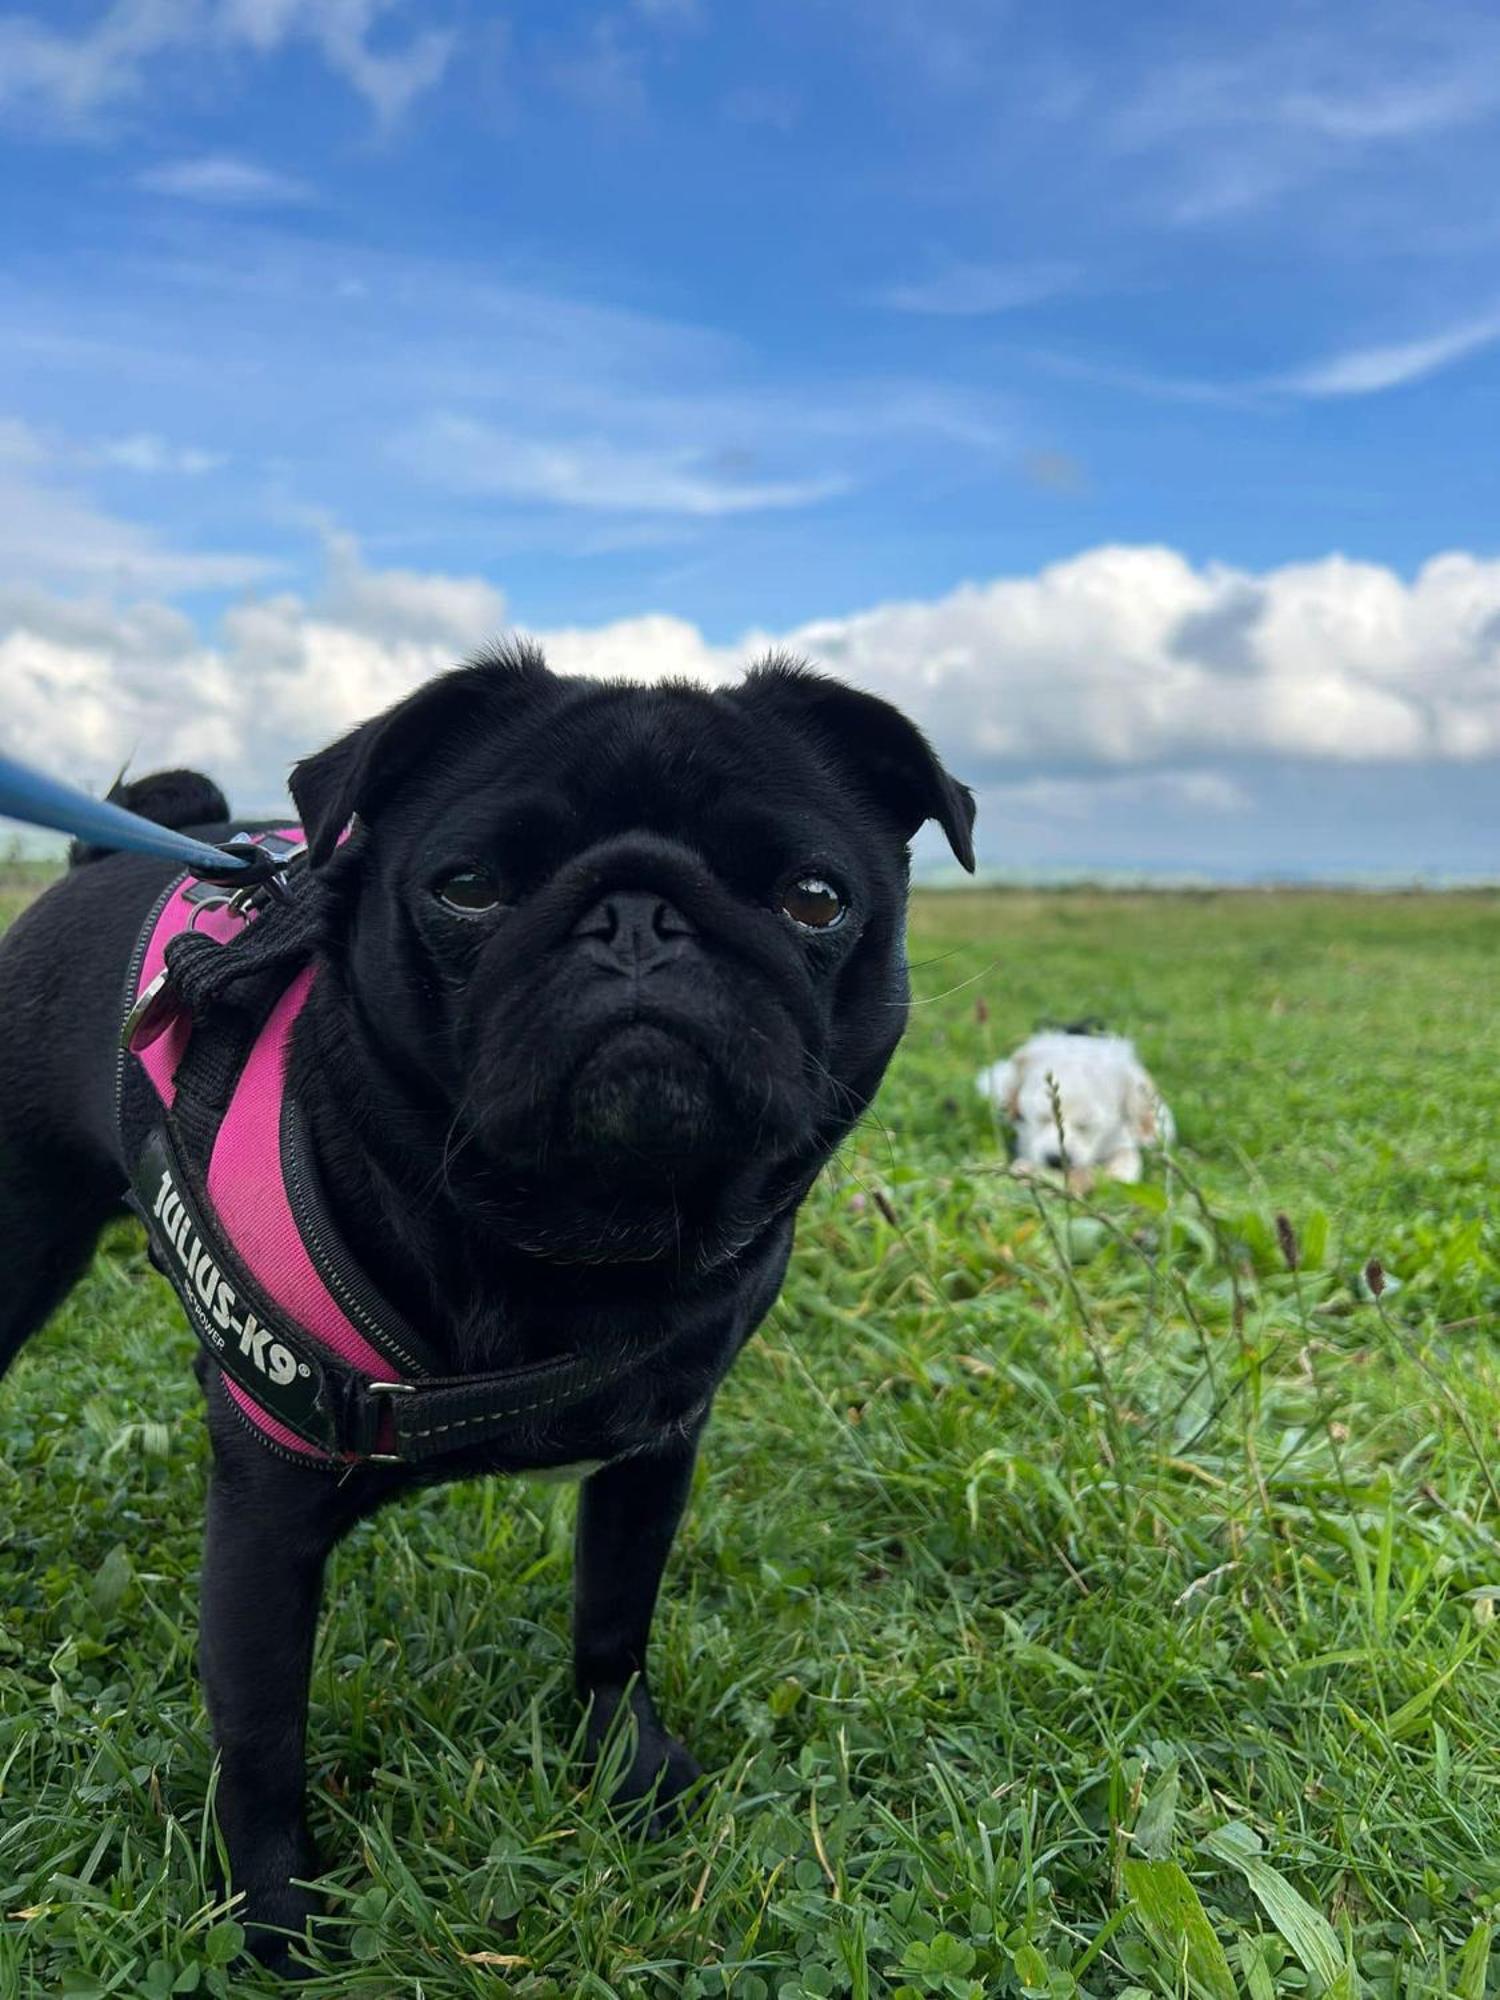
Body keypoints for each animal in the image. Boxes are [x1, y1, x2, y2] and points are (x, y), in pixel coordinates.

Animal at [0, 644, 976, 1968]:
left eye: (816, 899)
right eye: (466, 888)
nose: (636, 914)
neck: (571, 1244)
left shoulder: (658, 1449)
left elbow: (614, 1620)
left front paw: (629, 1771)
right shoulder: (264, 1511)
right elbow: (261, 1734)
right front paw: (274, 1920)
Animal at [980, 1040, 1184, 1176]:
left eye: (1086, 1125)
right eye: (1042, 1118)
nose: (1056, 1160)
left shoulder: (1121, 1136)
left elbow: (1127, 1156)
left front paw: (1117, 1173)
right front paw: (1023, 1168)